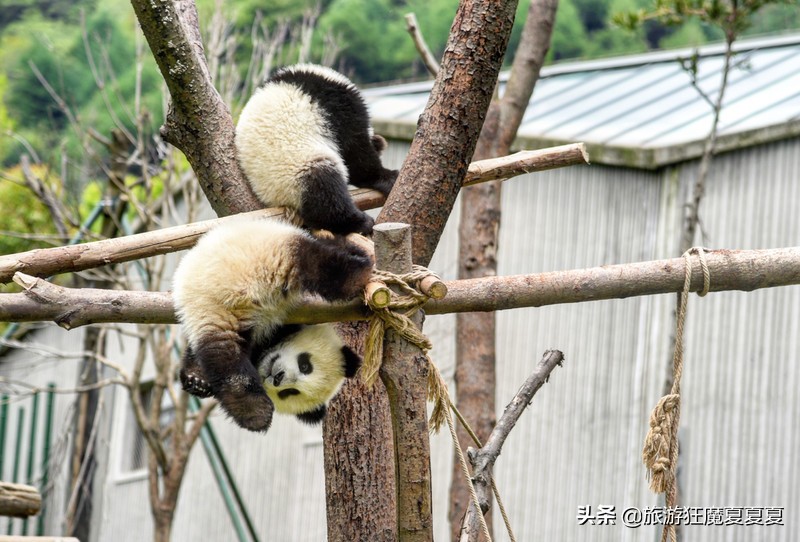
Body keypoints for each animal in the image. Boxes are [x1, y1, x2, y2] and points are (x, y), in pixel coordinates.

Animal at [234, 63, 396, 236]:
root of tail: (277, 200)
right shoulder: (340, 108)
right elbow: (356, 154)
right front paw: (388, 176)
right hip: (297, 170)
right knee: (326, 192)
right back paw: (360, 223)